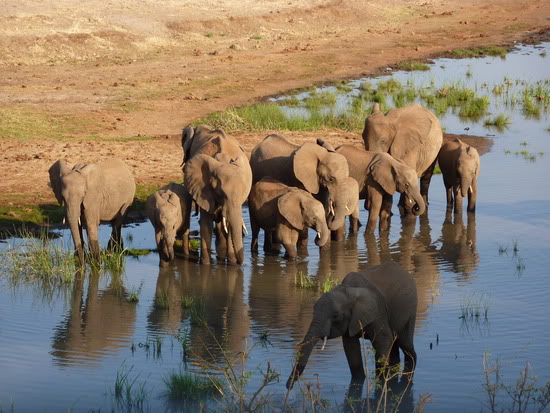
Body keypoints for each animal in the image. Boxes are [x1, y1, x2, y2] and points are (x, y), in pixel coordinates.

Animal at [182, 124, 253, 264]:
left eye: (244, 191)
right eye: (220, 192)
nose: (240, 263)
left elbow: (229, 224)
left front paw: (231, 263)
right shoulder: (204, 188)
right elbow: (206, 224)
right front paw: (206, 264)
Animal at [288, 260, 418, 390]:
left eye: (335, 315)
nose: (288, 387)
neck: (348, 292)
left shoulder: (377, 311)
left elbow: (383, 342)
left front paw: (381, 382)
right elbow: (351, 347)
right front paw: (358, 381)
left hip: (411, 309)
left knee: (405, 343)